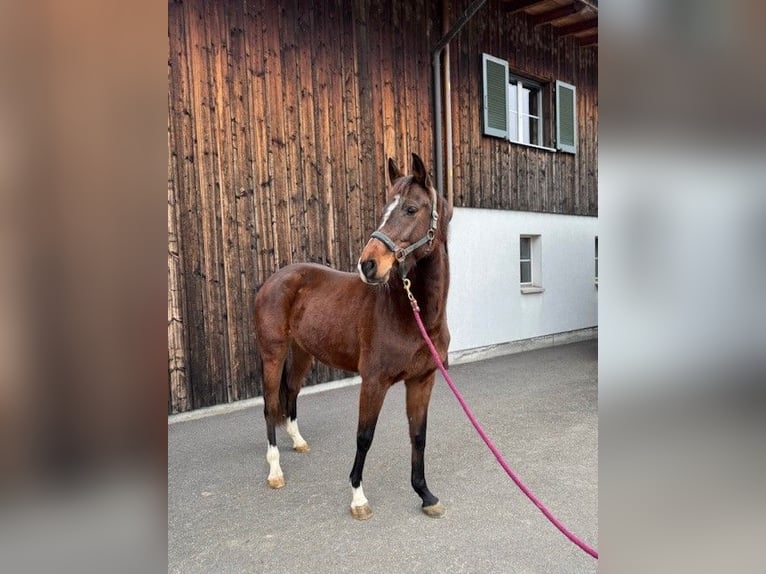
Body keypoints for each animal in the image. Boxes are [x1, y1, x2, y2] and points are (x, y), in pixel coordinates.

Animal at [255, 154, 452, 520]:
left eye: (411, 209)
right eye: (384, 208)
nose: (368, 264)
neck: (412, 314)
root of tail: (275, 279)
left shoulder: (422, 380)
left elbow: (418, 436)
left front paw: (425, 495)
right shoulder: (373, 381)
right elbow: (364, 436)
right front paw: (358, 498)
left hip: (302, 353)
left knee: (290, 394)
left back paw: (297, 441)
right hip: (272, 354)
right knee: (270, 404)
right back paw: (275, 471)